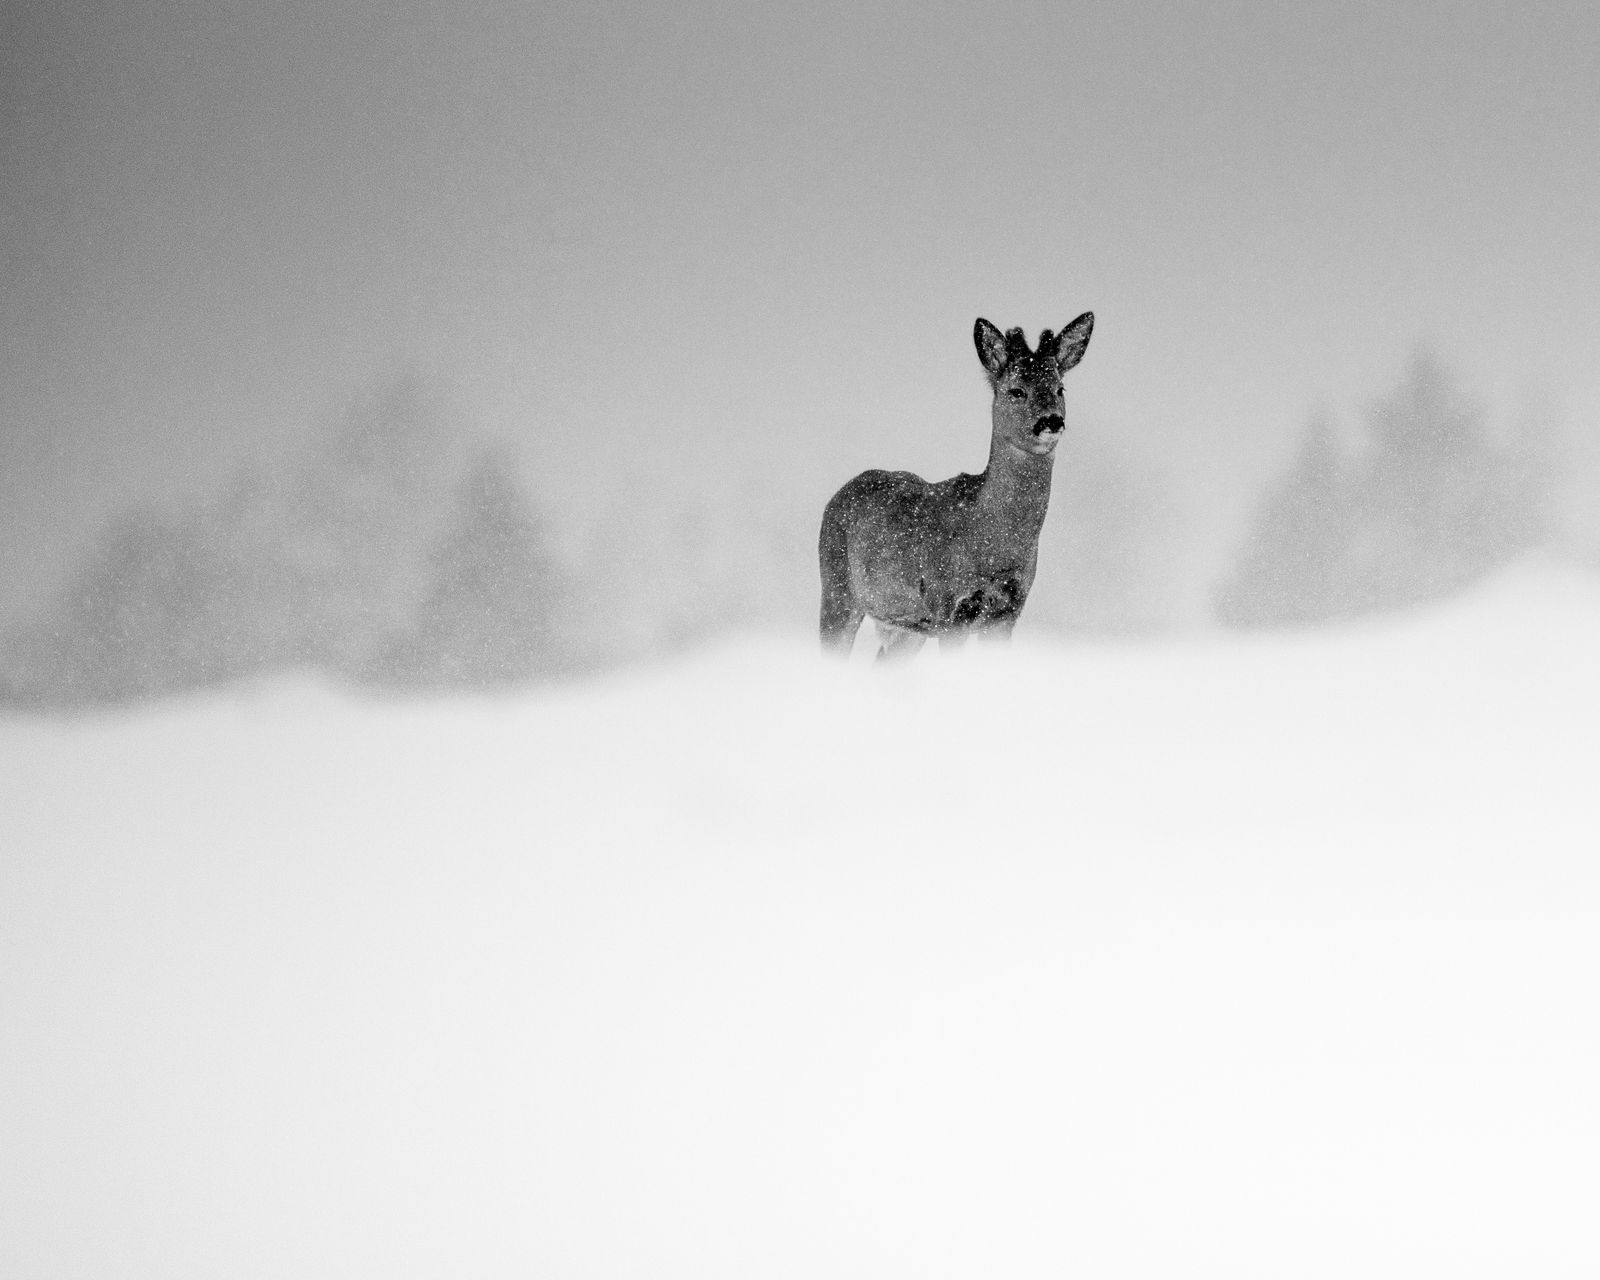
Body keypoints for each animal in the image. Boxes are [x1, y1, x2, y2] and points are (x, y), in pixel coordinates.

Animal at [818, 313, 1094, 661]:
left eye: (1060, 388)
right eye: (1016, 390)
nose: (1052, 421)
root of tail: (839, 493)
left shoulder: (1008, 612)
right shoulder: (950, 607)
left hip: (907, 627)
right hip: (836, 586)